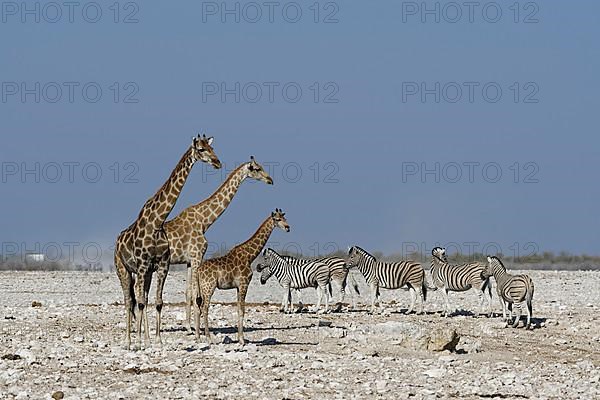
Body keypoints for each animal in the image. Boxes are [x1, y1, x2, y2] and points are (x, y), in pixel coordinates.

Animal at [113, 135, 221, 350]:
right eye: (201, 149)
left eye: (212, 147)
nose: (217, 162)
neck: (157, 222)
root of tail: (117, 242)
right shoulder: (143, 265)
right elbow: (140, 302)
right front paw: (139, 342)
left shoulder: (162, 265)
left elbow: (158, 301)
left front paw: (157, 340)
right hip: (124, 269)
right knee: (129, 301)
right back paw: (129, 341)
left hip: (144, 273)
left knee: (142, 298)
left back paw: (145, 339)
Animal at [165, 155, 276, 330]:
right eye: (257, 169)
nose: (270, 180)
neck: (204, 221)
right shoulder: (197, 256)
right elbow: (196, 292)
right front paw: (196, 328)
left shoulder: (189, 260)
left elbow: (189, 291)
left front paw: (189, 326)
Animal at [193, 209, 290, 344]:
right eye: (277, 219)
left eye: (285, 218)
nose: (288, 228)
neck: (250, 256)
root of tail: (198, 270)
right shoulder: (244, 283)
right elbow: (242, 310)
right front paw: (242, 340)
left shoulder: (238, 286)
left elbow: (239, 309)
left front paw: (240, 338)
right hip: (209, 286)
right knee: (204, 307)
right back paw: (208, 338)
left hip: (200, 288)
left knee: (197, 306)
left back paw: (197, 337)